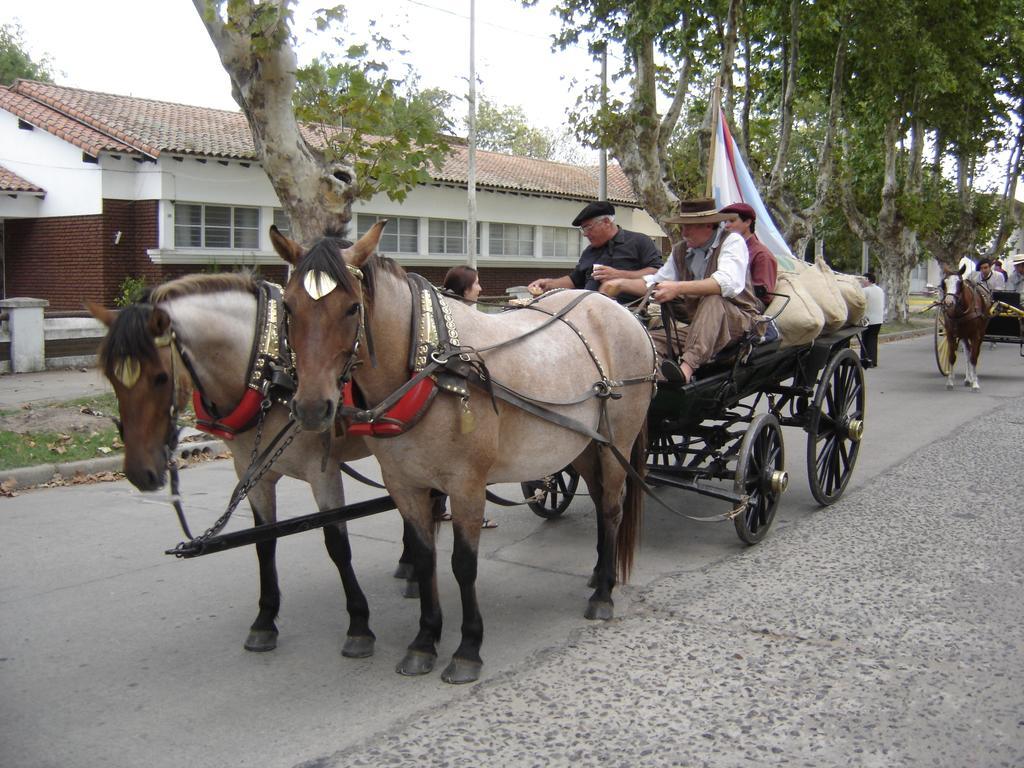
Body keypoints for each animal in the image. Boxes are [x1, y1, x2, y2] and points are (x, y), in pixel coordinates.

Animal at [272, 222, 655, 684]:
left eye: (351, 308)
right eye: (288, 307)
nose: (312, 408)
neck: (431, 364)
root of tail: (619, 310)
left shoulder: (467, 485)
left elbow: (463, 564)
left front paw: (468, 648)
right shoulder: (405, 484)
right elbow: (424, 559)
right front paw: (424, 640)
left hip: (617, 442)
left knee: (613, 508)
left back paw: (603, 594)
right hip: (580, 444)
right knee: (599, 502)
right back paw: (600, 572)